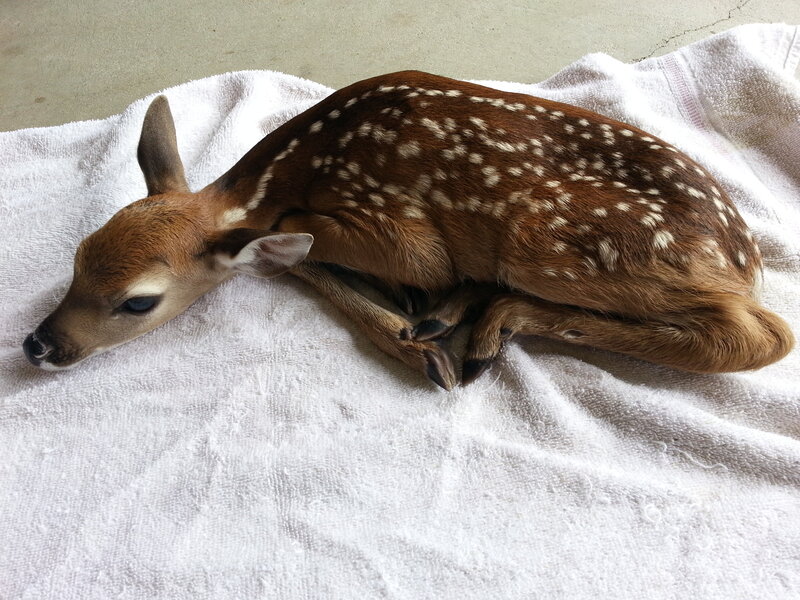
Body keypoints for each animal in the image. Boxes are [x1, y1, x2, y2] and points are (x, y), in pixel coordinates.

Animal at [22, 71, 794, 389]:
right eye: (78, 257)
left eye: (138, 302)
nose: (38, 345)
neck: (293, 175)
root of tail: (744, 258)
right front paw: (419, 325)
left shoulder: (396, 230)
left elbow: (296, 253)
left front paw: (419, 336)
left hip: (554, 238)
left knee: (757, 337)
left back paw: (493, 326)